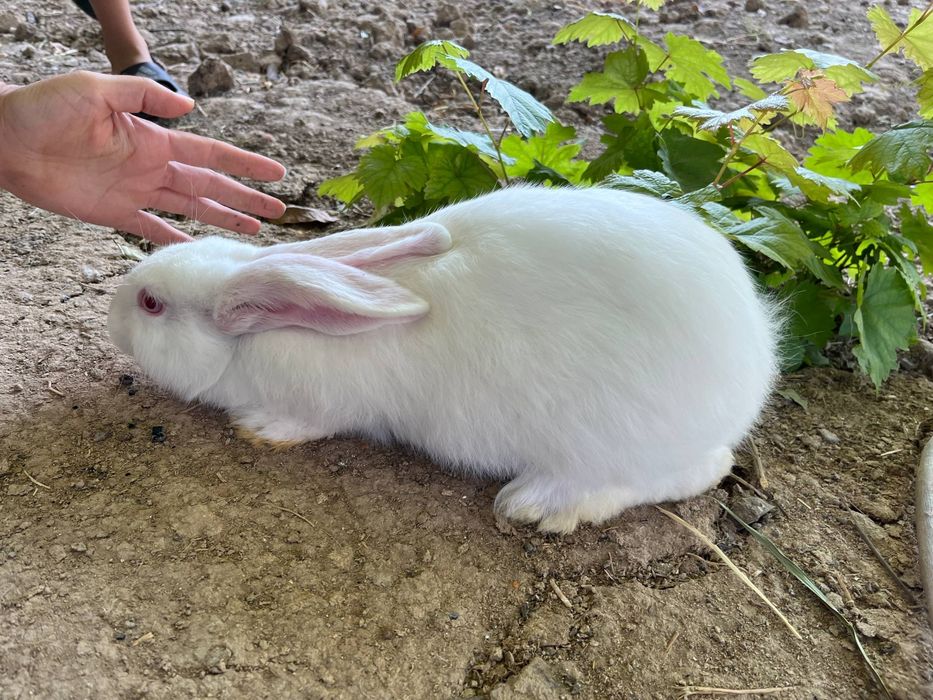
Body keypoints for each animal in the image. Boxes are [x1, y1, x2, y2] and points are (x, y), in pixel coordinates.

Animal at [107, 185, 780, 533]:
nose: (112, 320)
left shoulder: (323, 404)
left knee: (684, 475)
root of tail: (749, 371)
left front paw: (260, 429)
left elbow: (304, 421)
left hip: (613, 444)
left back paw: (540, 505)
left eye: (150, 304)